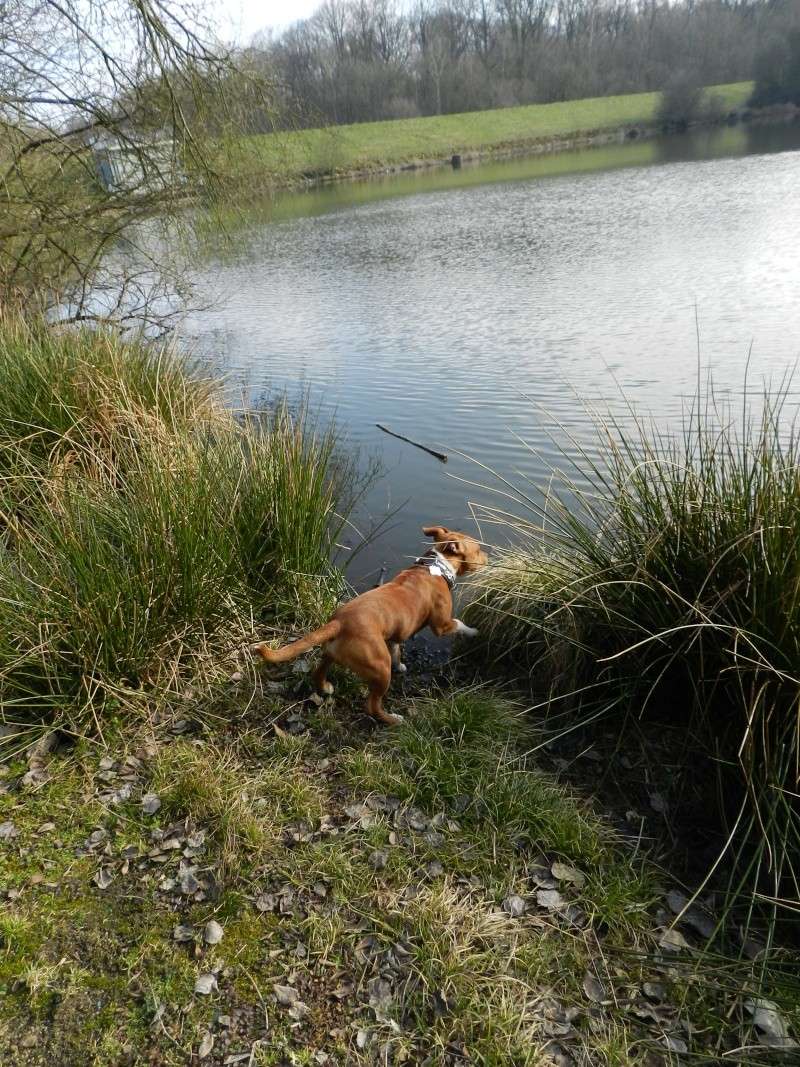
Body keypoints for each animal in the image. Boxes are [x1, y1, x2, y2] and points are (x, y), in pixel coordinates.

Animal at [251, 524, 488, 725]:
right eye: (478, 549)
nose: (488, 556)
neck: (436, 567)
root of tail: (339, 622)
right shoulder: (441, 625)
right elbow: (459, 623)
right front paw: (474, 631)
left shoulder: (395, 635)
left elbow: (397, 650)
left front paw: (401, 665)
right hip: (380, 669)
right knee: (372, 705)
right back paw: (392, 719)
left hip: (331, 653)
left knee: (318, 672)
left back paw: (326, 687)